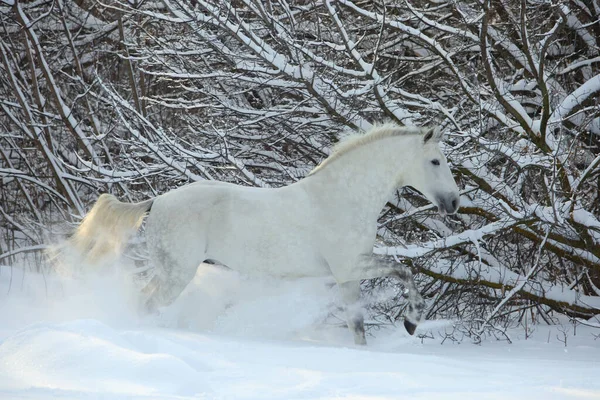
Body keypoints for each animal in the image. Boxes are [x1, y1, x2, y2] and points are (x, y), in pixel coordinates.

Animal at [72, 123, 462, 346]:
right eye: (435, 161)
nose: (455, 202)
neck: (342, 197)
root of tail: (156, 202)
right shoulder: (350, 267)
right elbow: (403, 271)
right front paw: (412, 322)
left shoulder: (346, 276)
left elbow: (358, 324)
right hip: (176, 274)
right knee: (147, 304)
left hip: (170, 271)